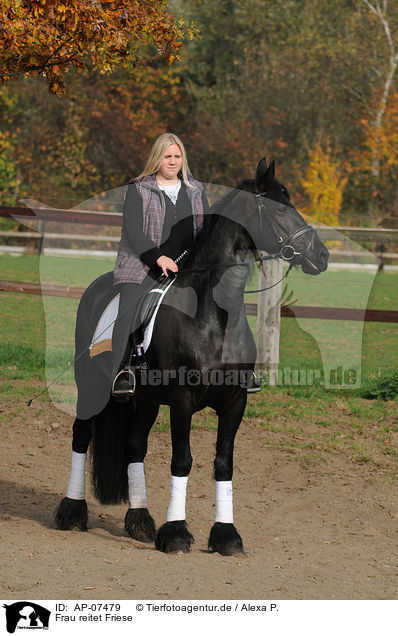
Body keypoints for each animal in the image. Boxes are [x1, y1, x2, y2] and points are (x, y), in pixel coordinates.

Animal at [56, 160, 330, 556]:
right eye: (280, 210)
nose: (322, 255)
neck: (214, 315)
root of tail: (97, 287)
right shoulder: (183, 400)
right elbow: (182, 460)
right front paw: (176, 533)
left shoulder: (235, 402)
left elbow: (224, 464)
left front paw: (227, 535)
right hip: (90, 386)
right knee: (81, 436)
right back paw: (72, 512)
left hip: (145, 401)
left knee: (134, 446)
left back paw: (140, 521)